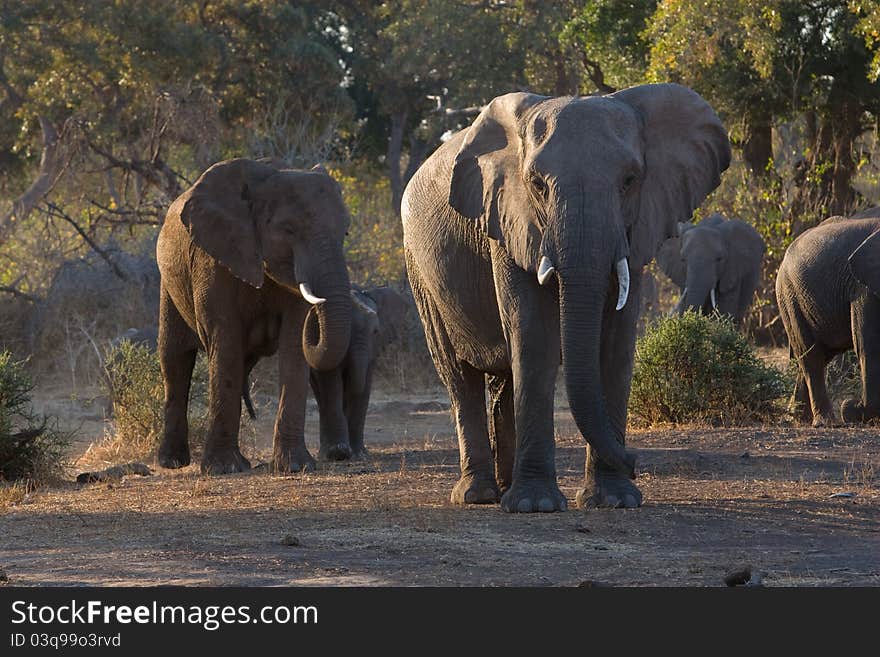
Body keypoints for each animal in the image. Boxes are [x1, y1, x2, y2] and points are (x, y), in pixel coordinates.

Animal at [156, 156, 352, 474]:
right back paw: (172, 461)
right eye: (288, 229)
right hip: (168, 282)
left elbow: (293, 346)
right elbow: (224, 341)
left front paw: (295, 466)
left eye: (345, 231)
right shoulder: (212, 260)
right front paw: (222, 469)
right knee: (175, 360)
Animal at [312, 284, 410, 458]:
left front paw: (359, 455)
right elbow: (331, 381)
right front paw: (339, 452)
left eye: (375, 332)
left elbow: (364, 387)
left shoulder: (373, 350)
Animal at [400, 83, 728, 512]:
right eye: (538, 184)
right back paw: (479, 495)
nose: (635, 462)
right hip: (419, 270)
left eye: (630, 180)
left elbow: (615, 342)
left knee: (503, 377)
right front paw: (535, 506)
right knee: (458, 375)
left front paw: (615, 499)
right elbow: (534, 333)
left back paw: (505, 486)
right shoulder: (508, 220)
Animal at [776, 208, 880, 428]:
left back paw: (798, 418)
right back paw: (825, 421)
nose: (851, 403)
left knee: (816, 357)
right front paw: (851, 410)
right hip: (789, 296)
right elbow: (869, 344)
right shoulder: (863, 289)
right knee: (811, 357)